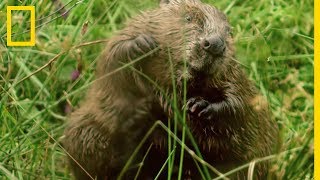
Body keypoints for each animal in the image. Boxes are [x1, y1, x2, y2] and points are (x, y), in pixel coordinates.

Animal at [62, 0, 278, 179]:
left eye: (229, 32)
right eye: (189, 17)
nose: (215, 45)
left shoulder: (233, 75)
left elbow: (241, 104)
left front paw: (199, 106)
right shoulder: (131, 30)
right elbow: (111, 60)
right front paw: (141, 45)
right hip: (82, 128)